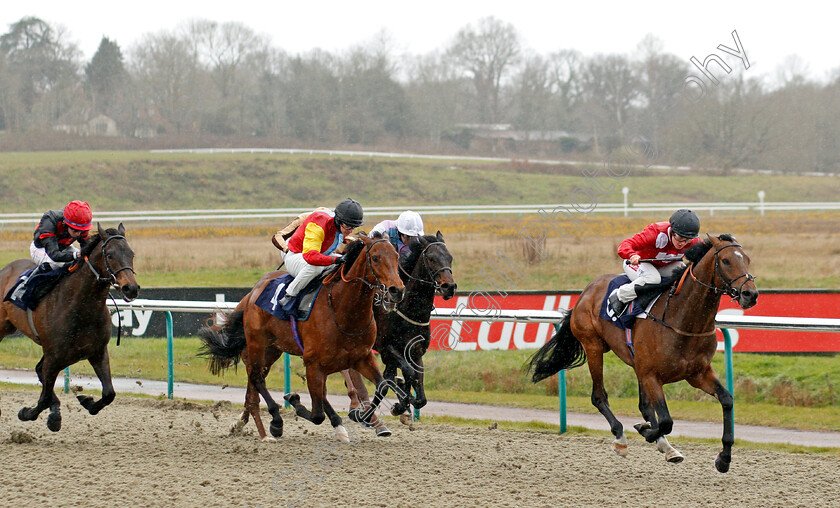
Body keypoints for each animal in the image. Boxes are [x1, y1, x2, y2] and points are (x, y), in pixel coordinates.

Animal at [0, 224, 139, 430]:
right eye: (110, 254)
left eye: (132, 254)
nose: (131, 288)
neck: (81, 307)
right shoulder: (54, 355)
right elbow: (43, 398)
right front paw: (27, 413)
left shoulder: (97, 351)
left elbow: (109, 394)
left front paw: (86, 401)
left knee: (39, 370)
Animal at [199, 236, 406, 442]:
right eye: (376, 258)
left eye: (396, 257)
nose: (397, 290)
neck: (343, 312)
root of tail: (253, 292)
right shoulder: (313, 362)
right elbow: (317, 415)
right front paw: (293, 403)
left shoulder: (362, 357)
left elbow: (382, 386)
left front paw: (370, 415)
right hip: (257, 343)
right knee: (257, 379)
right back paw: (272, 425)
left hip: (273, 349)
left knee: (257, 382)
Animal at [528, 234, 756, 472]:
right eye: (726, 261)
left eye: (747, 259)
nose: (750, 294)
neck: (683, 319)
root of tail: (586, 291)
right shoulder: (652, 375)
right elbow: (666, 421)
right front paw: (645, 431)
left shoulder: (697, 373)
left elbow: (727, 400)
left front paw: (724, 458)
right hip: (593, 346)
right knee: (599, 396)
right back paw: (621, 437)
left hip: (635, 363)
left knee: (644, 406)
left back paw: (666, 447)